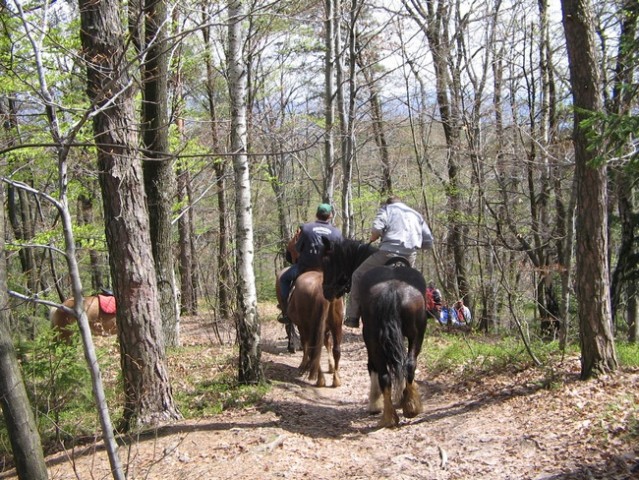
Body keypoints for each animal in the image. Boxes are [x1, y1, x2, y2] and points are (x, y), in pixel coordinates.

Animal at [320, 237, 430, 428]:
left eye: (328, 263)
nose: (326, 291)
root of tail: (392, 289)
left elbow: (373, 366)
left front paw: (375, 403)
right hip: (416, 335)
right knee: (409, 365)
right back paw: (410, 406)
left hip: (372, 338)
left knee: (383, 372)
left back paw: (387, 415)